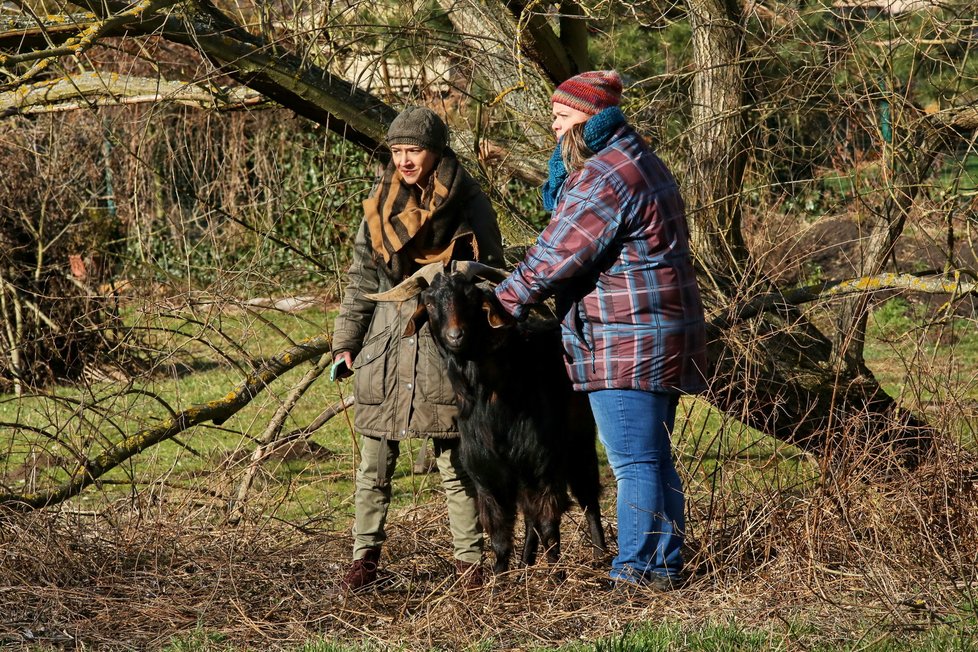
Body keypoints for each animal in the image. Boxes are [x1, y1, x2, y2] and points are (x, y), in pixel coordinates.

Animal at [402, 262, 608, 572]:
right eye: (429, 302)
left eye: (471, 298)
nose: (455, 336)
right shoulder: (487, 470)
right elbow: (500, 533)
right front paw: (499, 577)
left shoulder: (541, 460)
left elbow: (549, 526)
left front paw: (556, 575)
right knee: (531, 513)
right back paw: (525, 563)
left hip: (578, 439)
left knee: (587, 496)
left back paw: (600, 556)